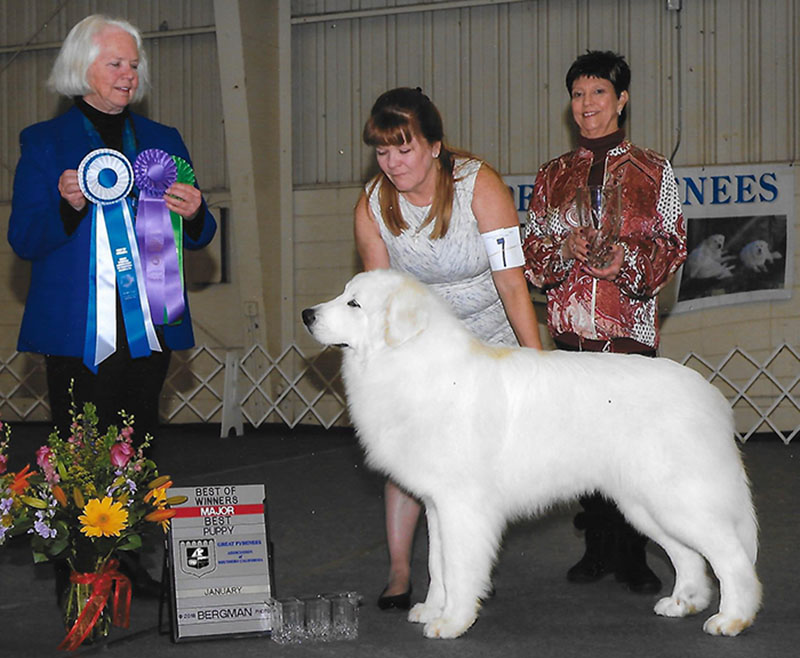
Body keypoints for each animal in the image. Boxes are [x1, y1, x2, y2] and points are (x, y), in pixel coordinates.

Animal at [302, 266, 764, 636]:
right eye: (344, 294)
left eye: (355, 303)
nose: (307, 315)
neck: (412, 363)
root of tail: (710, 397)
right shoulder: (435, 505)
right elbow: (436, 564)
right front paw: (433, 610)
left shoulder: (462, 506)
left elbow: (457, 566)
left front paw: (452, 622)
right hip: (644, 505)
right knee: (688, 555)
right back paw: (683, 602)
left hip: (679, 499)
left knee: (732, 558)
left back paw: (732, 619)